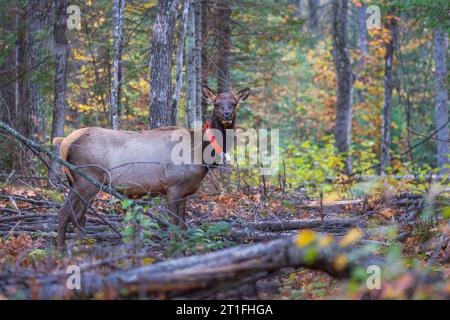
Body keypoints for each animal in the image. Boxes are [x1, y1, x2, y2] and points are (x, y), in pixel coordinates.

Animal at [53, 87, 250, 250]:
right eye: (216, 104)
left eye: (234, 103)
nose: (226, 114)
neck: (201, 155)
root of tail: (64, 142)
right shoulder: (173, 186)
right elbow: (173, 226)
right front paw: (173, 251)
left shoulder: (186, 191)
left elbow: (182, 226)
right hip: (86, 179)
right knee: (64, 213)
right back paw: (61, 252)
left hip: (80, 182)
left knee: (78, 216)